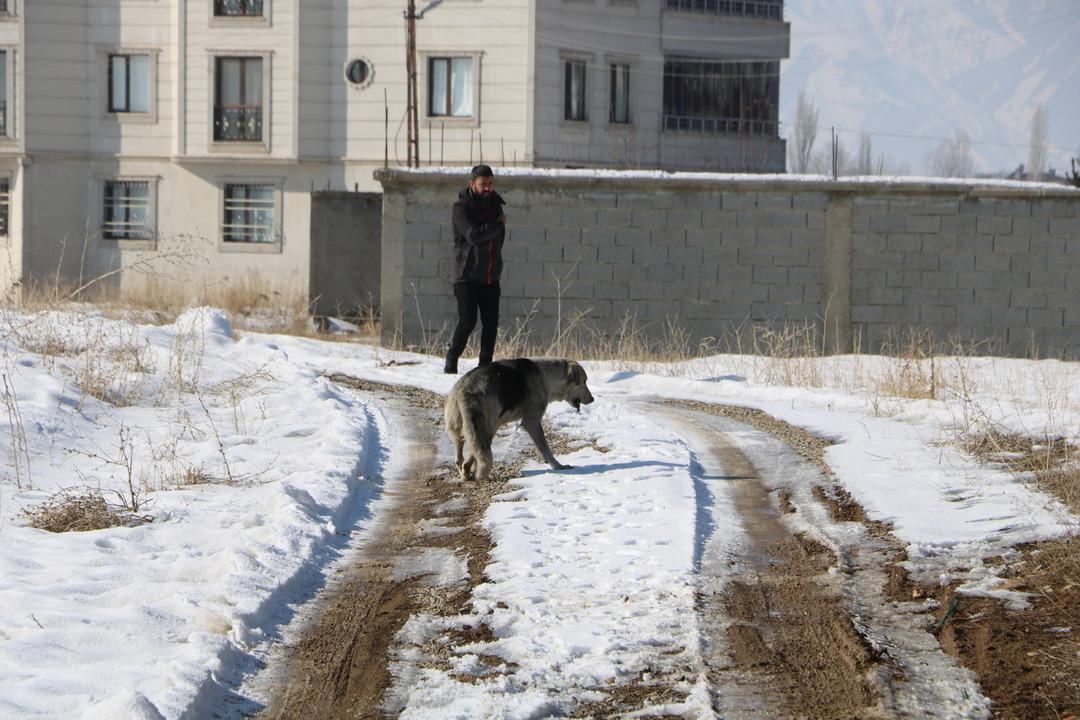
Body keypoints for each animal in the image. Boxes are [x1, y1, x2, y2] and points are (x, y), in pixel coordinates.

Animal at [447, 358, 600, 481]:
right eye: (583, 382)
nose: (592, 399)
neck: (548, 376)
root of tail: (465, 389)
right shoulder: (532, 422)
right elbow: (546, 449)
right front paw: (558, 466)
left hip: (461, 430)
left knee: (460, 458)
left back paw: (465, 475)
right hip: (489, 427)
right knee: (472, 456)